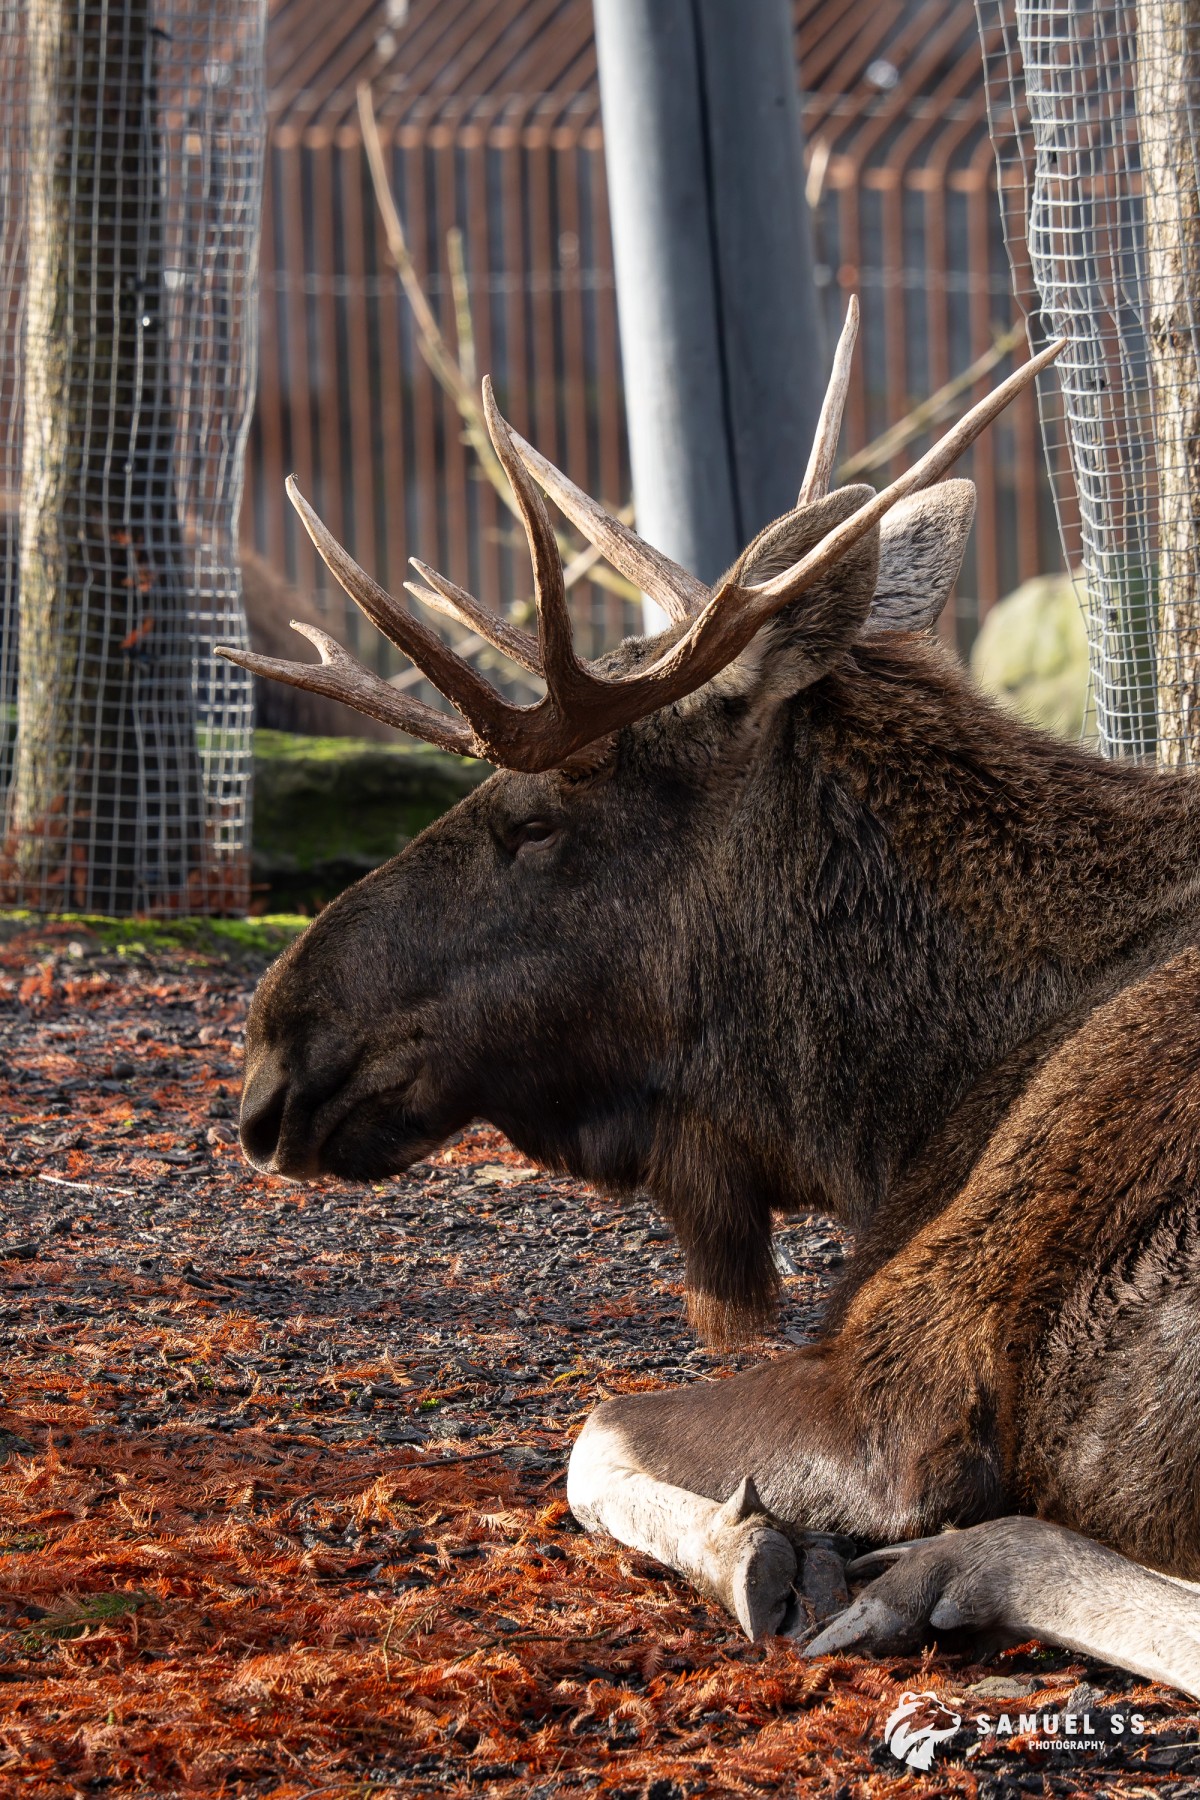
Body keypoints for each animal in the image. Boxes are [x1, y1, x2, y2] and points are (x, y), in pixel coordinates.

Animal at [219, 304, 1200, 1698]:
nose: (269, 1058)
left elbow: (595, 1431)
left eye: (533, 820)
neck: (891, 1115)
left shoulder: (904, 1387)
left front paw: (760, 1556)